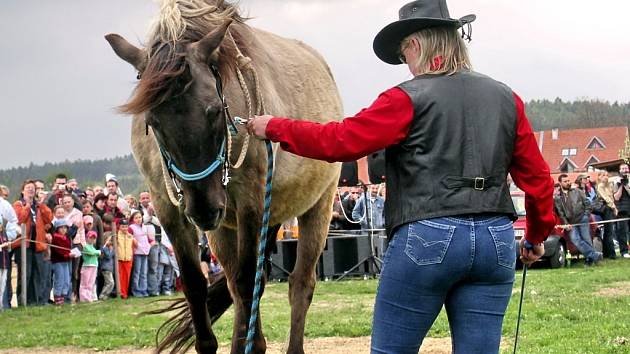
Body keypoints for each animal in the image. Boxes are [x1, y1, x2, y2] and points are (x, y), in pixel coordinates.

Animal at [108, 0, 346, 354]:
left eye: (213, 110)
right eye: (153, 120)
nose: (204, 210)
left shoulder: (250, 201)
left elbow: (249, 281)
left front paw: (253, 343)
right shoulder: (169, 208)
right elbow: (197, 283)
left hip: (318, 205)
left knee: (300, 283)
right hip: (232, 225)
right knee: (238, 281)